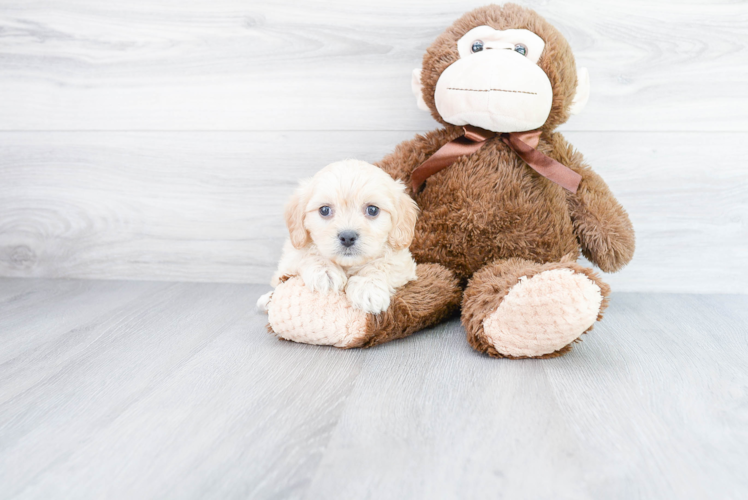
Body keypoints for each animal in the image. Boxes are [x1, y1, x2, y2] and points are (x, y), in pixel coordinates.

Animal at [258, 160, 420, 314]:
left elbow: (383, 264)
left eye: (373, 210)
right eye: (324, 210)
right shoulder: (289, 258)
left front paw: (367, 287)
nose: (347, 237)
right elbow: (307, 253)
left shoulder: (403, 262)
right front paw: (325, 271)